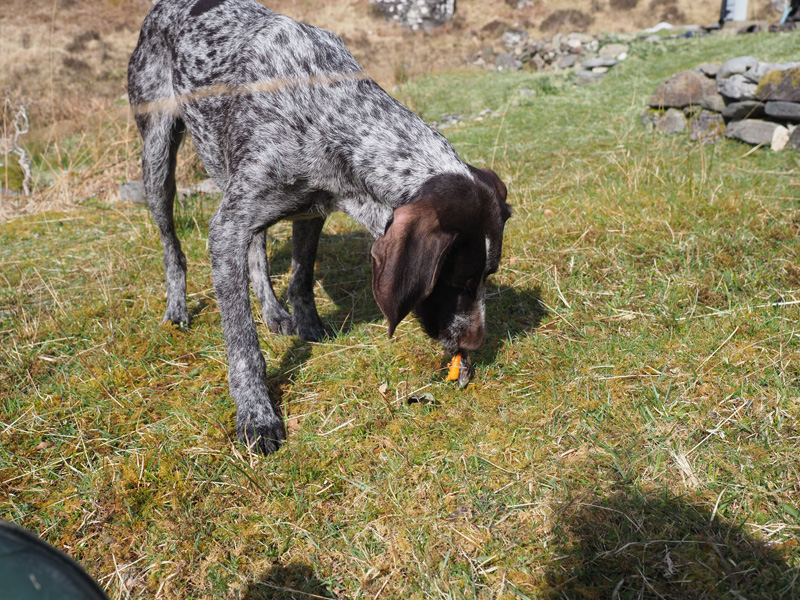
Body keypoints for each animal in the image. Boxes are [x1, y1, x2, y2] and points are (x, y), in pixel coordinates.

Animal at [128, 0, 510, 452]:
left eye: (488, 276)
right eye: (456, 283)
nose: (476, 343)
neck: (330, 112)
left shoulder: (312, 210)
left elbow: (302, 277)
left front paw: (306, 324)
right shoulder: (226, 226)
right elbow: (242, 343)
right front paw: (256, 415)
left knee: (257, 248)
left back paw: (273, 312)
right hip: (158, 158)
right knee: (172, 245)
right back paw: (177, 306)